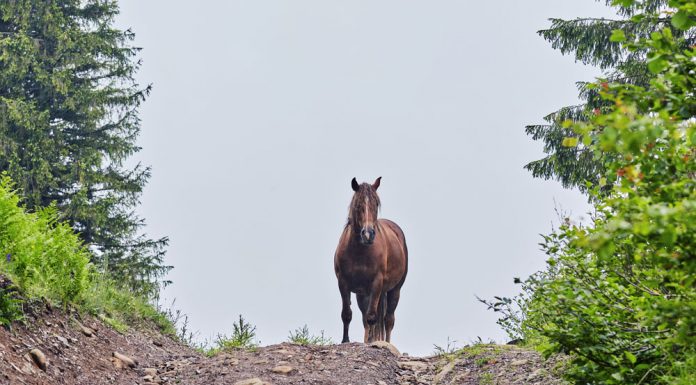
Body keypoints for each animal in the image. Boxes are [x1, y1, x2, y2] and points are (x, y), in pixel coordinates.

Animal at [334, 176, 408, 342]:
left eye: (376, 204)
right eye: (358, 205)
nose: (368, 234)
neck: (360, 252)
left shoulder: (377, 283)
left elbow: (372, 317)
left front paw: (371, 342)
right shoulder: (343, 283)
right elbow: (347, 314)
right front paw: (345, 340)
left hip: (394, 290)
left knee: (388, 319)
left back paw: (386, 342)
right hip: (362, 294)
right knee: (365, 318)